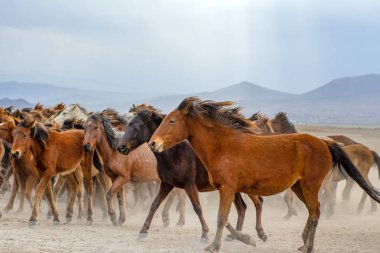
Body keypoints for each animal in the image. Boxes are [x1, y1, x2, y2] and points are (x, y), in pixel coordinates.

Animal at [116, 107, 268, 242]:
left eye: (136, 125)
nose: (121, 147)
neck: (174, 151)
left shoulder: (189, 185)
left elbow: (197, 207)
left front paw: (205, 234)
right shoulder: (166, 184)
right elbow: (154, 205)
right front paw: (143, 231)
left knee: (257, 203)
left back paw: (259, 233)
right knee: (243, 208)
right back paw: (236, 236)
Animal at [149, 96, 380, 252]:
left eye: (172, 121)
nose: (153, 143)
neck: (224, 146)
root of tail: (325, 142)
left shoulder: (228, 188)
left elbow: (221, 218)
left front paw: (214, 246)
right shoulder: (227, 189)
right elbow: (227, 219)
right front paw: (249, 238)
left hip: (310, 185)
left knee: (315, 212)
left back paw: (308, 246)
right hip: (299, 186)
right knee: (313, 210)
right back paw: (304, 241)